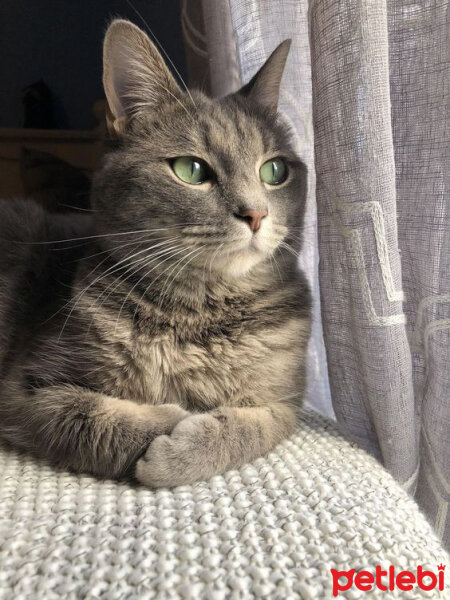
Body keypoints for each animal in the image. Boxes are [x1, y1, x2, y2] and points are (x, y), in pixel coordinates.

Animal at [0, 19, 312, 488]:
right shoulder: (24, 388)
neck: (199, 315)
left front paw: (187, 448)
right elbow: (86, 417)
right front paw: (169, 424)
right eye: (191, 170)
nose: (257, 213)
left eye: (275, 170)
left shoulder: (287, 400)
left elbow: (256, 425)